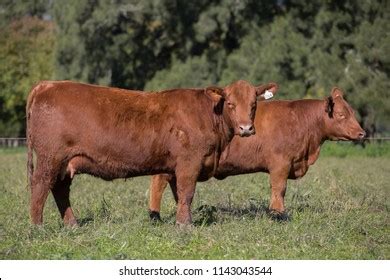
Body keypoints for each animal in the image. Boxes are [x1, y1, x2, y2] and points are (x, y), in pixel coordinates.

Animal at [26, 80, 278, 226]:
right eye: (231, 104)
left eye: (254, 104)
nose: (246, 128)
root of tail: (47, 85)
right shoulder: (189, 162)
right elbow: (187, 193)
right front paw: (185, 226)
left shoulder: (177, 168)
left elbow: (180, 196)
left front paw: (182, 221)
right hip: (51, 158)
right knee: (40, 186)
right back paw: (37, 227)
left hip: (65, 164)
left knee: (60, 190)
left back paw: (72, 224)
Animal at [149, 86, 366, 220]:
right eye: (341, 115)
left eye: (352, 112)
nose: (362, 133)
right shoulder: (281, 162)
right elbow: (279, 188)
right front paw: (278, 214)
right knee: (158, 183)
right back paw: (154, 216)